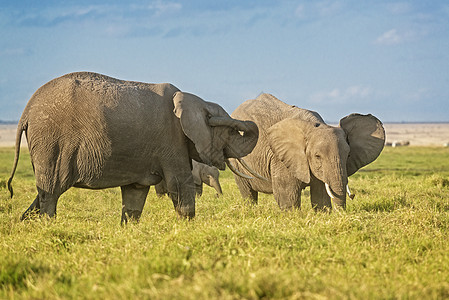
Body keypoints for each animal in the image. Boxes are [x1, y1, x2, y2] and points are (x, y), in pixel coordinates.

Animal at [6, 72, 260, 223]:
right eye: (231, 132)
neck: (193, 100)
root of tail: (26, 111)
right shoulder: (171, 140)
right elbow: (180, 185)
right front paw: (188, 227)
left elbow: (135, 195)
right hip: (53, 144)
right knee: (50, 193)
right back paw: (48, 226)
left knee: (43, 194)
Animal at [229, 94, 384, 211]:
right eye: (317, 156)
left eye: (348, 156)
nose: (353, 196)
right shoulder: (281, 158)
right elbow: (288, 195)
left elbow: (321, 195)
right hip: (236, 160)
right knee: (248, 192)